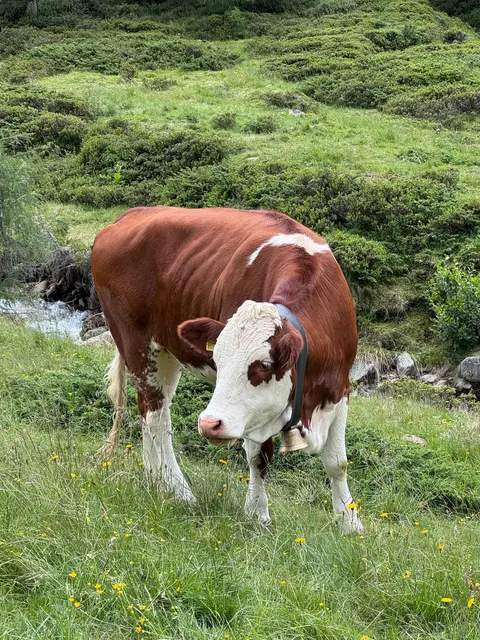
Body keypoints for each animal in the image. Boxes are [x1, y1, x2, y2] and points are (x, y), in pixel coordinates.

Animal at [91, 206, 363, 534]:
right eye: (218, 363)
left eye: (265, 365)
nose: (210, 424)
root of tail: (129, 215)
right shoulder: (252, 415)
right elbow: (259, 458)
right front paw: (258, 515)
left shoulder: (339, 387)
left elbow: (337, 462)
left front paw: (350, 523)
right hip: (137, 345)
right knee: (157, 418)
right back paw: (179, 490)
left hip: (166, 352)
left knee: (150, 412)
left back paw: (156, 480)